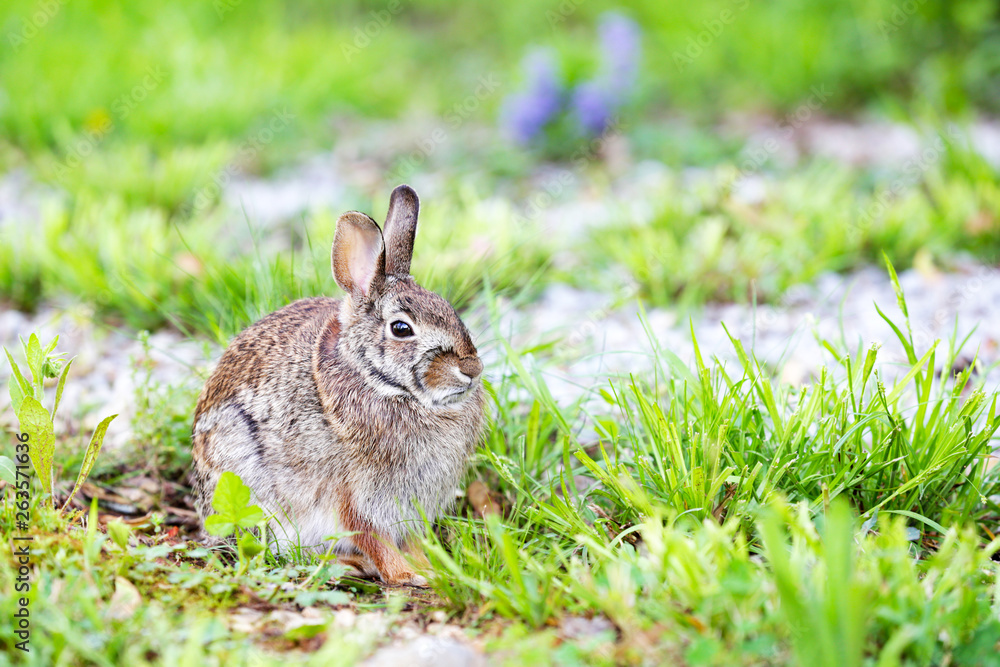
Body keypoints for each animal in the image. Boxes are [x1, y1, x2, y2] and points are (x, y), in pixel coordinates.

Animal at [190, 184, 486, 587]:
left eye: (448, 308)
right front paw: (408, 575)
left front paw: (431, 568)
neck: (381, 383)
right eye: (401, 328)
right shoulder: (351, 493)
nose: (472, 369)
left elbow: (409, 539)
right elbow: (369, 534)